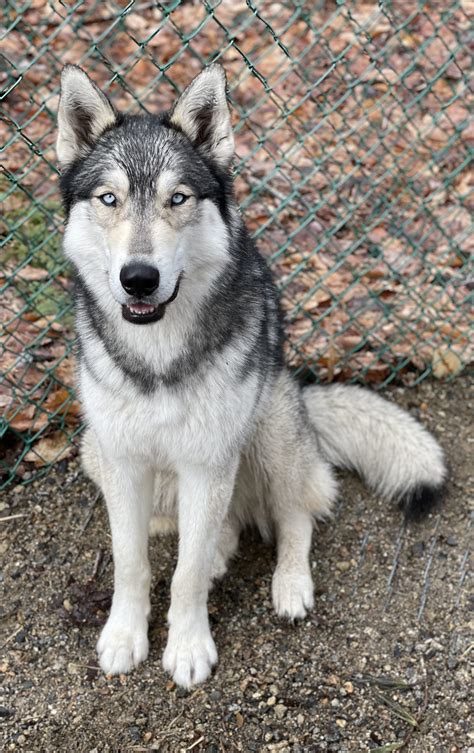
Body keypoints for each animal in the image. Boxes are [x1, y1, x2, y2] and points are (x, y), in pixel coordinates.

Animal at [56, 64, 447, 688]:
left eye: (178, 198)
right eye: (109, 198)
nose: (139, 278)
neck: (158, 355)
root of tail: (302, 393)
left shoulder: (209, 460)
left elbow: (186, 576)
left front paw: (189, 649)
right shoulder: (124, 461)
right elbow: (131, 562)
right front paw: (123, 636)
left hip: (271, 433)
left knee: (295, 518)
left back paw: (289, 584)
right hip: (97, 451)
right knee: (217, 530)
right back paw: (219, 548)